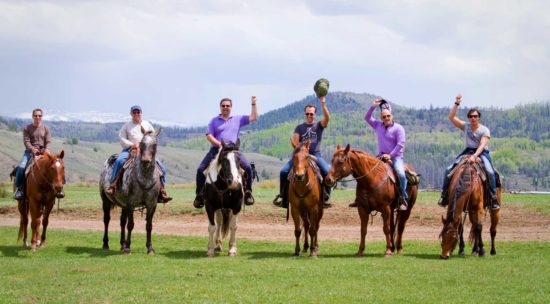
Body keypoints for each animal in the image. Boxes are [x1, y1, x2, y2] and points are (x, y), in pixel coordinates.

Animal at [99, 127, 162, 255]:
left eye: (154, 144)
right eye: (141, 144)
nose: (146, 161)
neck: (145, 178)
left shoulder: (151, 204)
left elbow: (149, 225)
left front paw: (150, 248)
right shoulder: (131, 203)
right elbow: (131, 225)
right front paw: (128, 248)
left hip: (123, 205)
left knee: (122, 221)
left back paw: (122, 244)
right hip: (106, 201)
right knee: (107, 220)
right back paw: (106, 244)